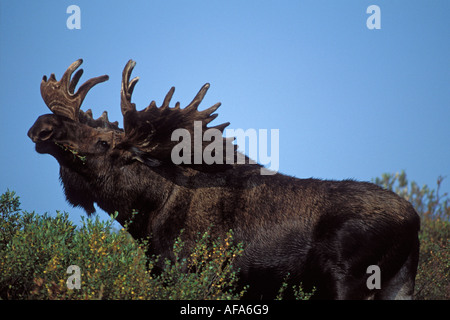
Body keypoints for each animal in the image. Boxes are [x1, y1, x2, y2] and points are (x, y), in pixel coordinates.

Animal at [29, 60, 422, 300]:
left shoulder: (194, 275)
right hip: (398, 285)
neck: (146, 214)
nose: (42, 126)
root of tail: (415, 221)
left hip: (349, 281)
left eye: (104, 142)